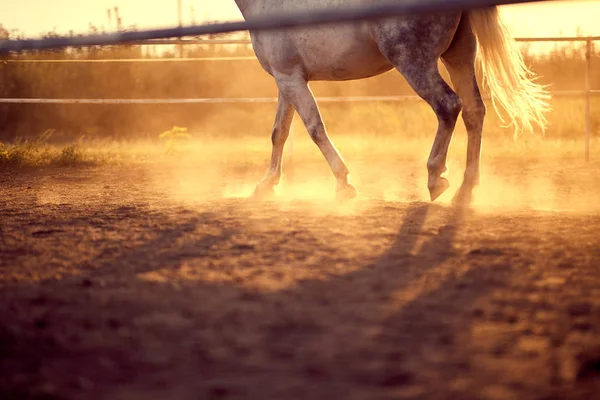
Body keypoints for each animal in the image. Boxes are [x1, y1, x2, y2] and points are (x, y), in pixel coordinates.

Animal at [232, 0, 552, 203]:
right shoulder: (287, 79)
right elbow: (280, 132)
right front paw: (266, 185)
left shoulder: (290, 79)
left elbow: (315, 128)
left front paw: (344, 185)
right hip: (459, 56)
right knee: (474, 111)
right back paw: (466, 190)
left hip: (414, 63)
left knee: (448, 106)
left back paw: (436, 179)